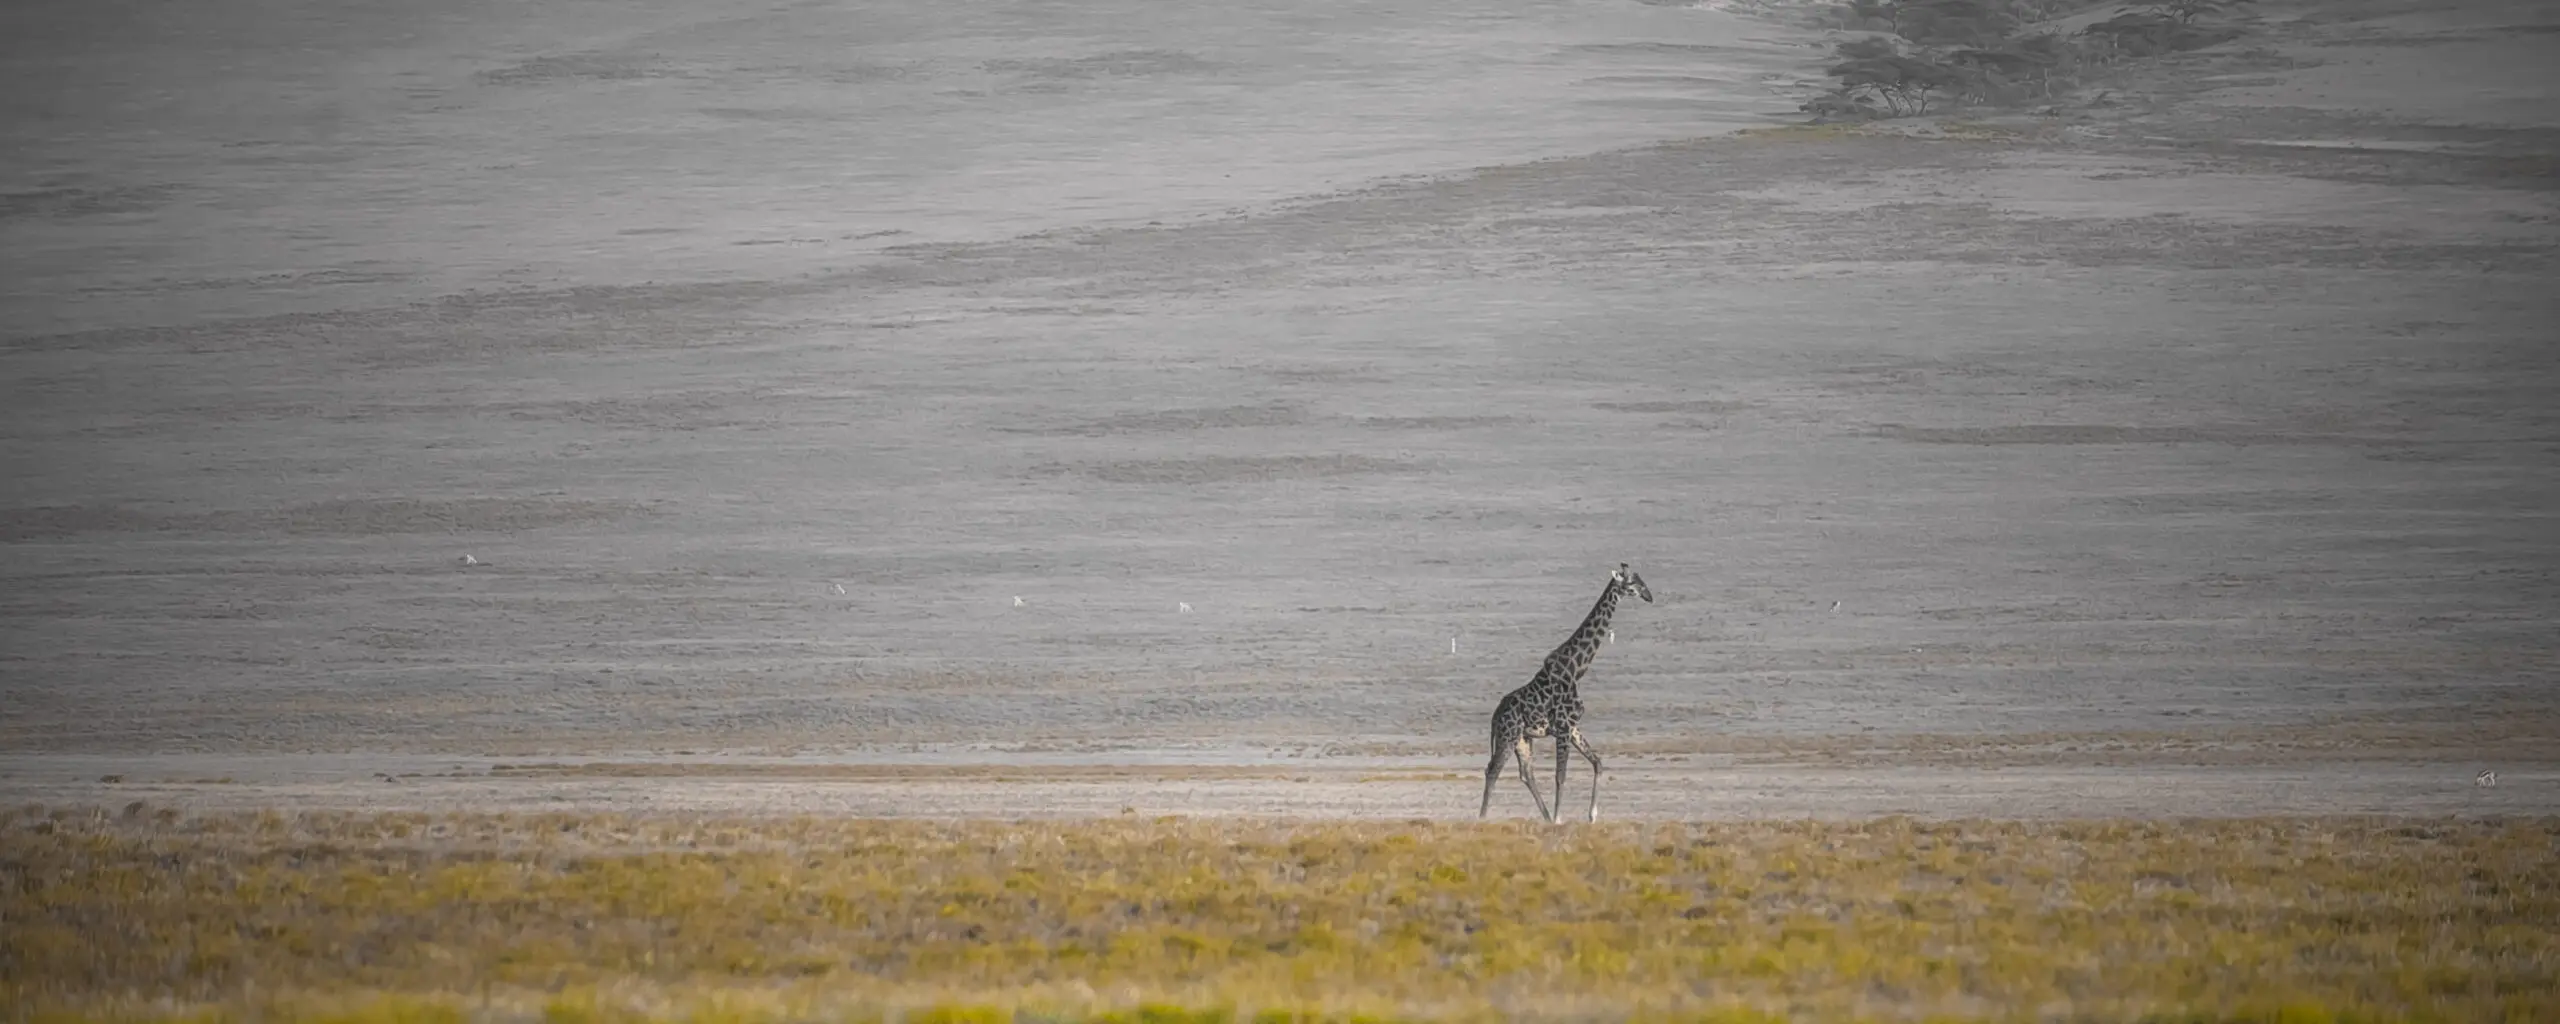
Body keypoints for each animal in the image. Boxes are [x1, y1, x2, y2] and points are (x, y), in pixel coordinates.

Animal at [1495, 560, 1648, 824]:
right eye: (1632, 583)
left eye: (1641, 580)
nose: (1649, 595)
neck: (1575, 670)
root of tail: (1494, 715)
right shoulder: (1564, 727)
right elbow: (1560, 775)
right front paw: (1559, 819)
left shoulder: (1572, 727)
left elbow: (1597, 763)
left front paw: (1592, 815)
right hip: (1508, 735)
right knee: (1493, 771)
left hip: (1522, 739)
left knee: (1525, 773)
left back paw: (1542, 816)